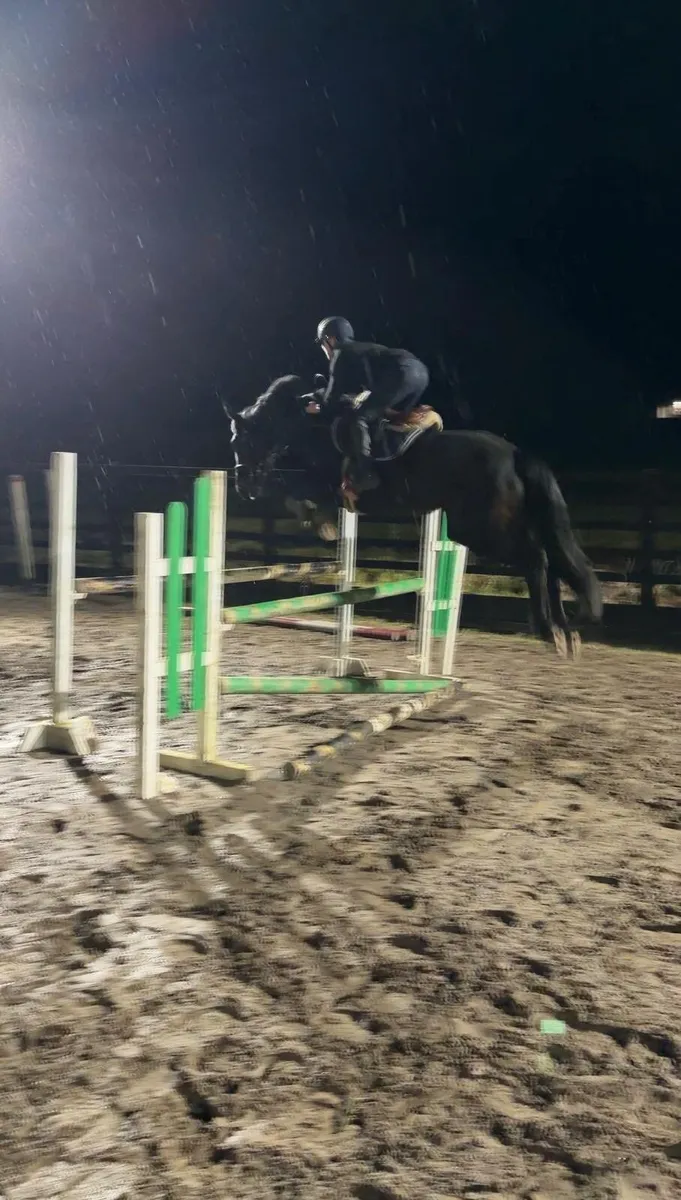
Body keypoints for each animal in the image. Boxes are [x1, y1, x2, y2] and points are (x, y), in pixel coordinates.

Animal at [224, 374, 602, 656]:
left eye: (242, 441)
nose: (243, 486)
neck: (311, 423)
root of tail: (515, 454)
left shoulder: (325, 483)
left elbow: (293, 493)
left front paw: (323, 525)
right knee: (552, 563)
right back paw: (566, 633)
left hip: (483, 531)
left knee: (536, 559)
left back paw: (549, 631)